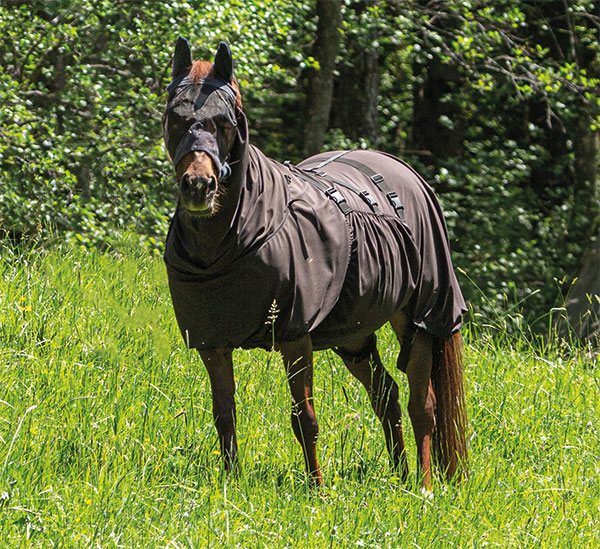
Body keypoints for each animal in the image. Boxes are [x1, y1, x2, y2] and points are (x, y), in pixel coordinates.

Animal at [161, 38, 468, 490]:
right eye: (175, 118)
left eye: (224, 121)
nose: (198, 186)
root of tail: (403, 170)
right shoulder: (212, 342)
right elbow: (224, 414)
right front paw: (230, 482)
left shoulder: (296, 336)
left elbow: (303, 417)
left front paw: (318, 488)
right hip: (353, 336)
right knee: (387, 396)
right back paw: (399, 473)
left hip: (421, 318)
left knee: (421, 405)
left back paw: (424, 485)